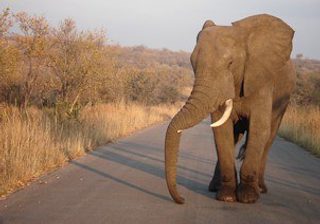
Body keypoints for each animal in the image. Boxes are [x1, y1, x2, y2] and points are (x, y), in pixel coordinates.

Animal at [164, 13, 296, 203]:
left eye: (231, 63)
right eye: (192, 63)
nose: (181, 199)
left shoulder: (261, 80)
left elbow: (259, 129)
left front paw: (248, 198)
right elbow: (221, 130)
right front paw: (226, 197)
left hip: (283, 100)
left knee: (269, 136)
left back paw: (261, 188)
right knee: (234, 136)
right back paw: (215, 187)